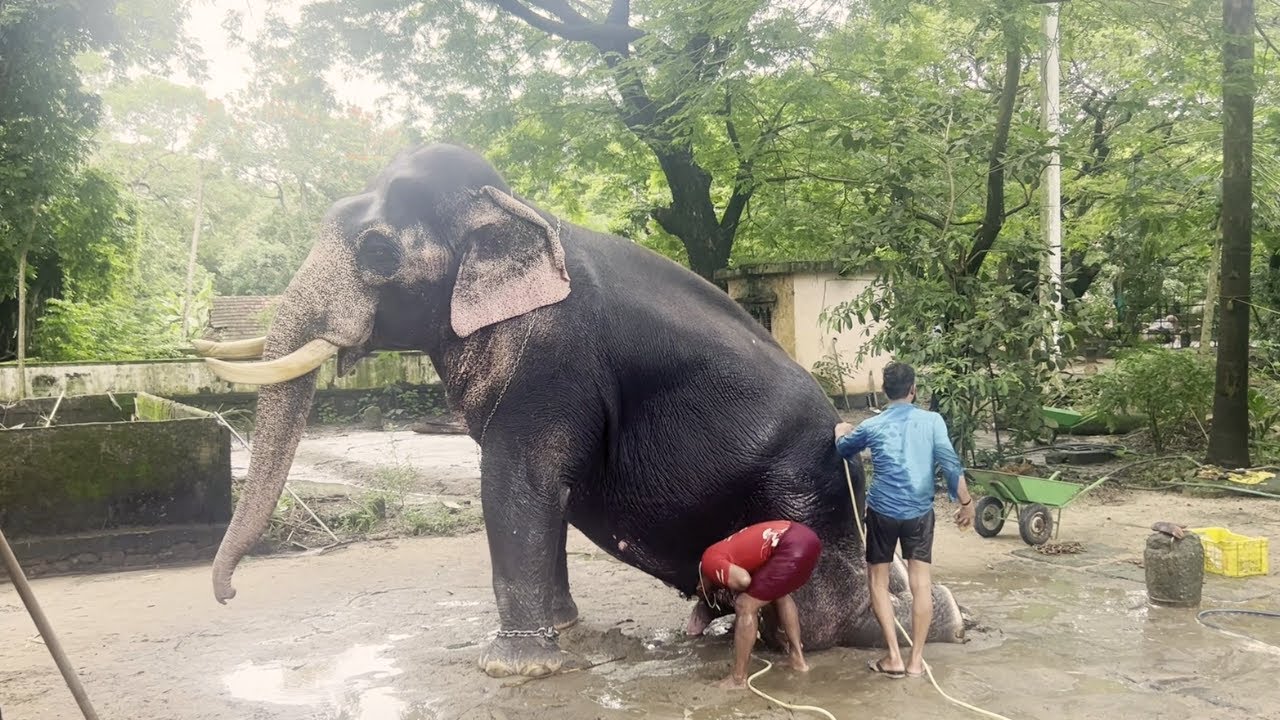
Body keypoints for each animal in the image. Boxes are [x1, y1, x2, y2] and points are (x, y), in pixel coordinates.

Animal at [194, 143, 965, 678]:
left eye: (379, 250)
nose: (227, 597)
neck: (513, 205)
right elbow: (541, 493)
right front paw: (561, 634)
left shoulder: (551, 364)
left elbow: (520, 484)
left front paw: (515, 668)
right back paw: (943, 621)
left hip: (795, 489)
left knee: (815, 608)